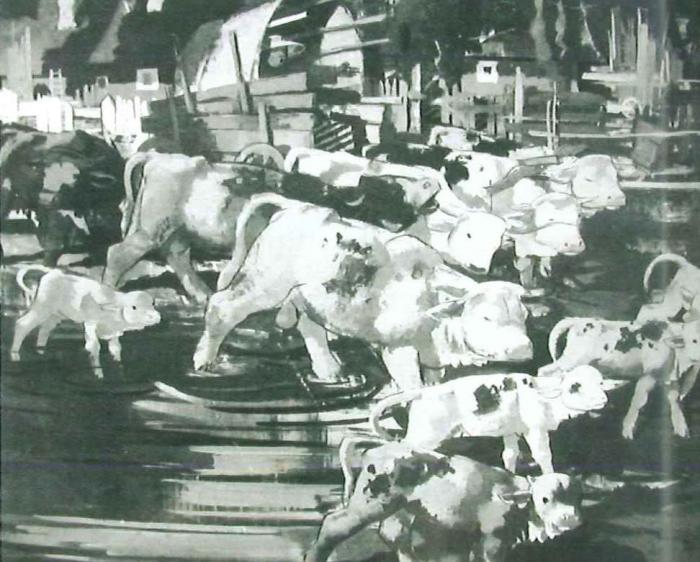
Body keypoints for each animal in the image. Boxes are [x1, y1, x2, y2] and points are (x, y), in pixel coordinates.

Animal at [11, 266, 161, 377]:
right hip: (42, 308)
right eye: (134, 307)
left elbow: (116, 349)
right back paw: (15, 356)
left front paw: (120, 370)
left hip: (55, 315)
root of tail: (53, 273)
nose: (155, 317)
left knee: (44, 330)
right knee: (22, 324)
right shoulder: (90, 323)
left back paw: (41, 353)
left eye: (153, 303)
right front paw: (99, 375)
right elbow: (94, 347)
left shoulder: (113, 333)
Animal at [195, 194, 533, 390]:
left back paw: (329, 370)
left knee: (310, 327)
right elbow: (412, 388)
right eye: (486, 317)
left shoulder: (431, 357)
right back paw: (205, 361)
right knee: (222, 306)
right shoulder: (398, 347)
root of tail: (296, 208)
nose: (523, 349)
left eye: (524, 317)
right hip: (265, 283)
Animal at [305, 441, 582, 562]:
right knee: (334, 525)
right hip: (370, 504)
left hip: (400, 510)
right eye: (544, 499)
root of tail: (375, 450)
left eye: (578, 498)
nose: (570, 518)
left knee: (394, 537)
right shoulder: (493, 537)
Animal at [368, 367, 615, 475]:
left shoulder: (510, 430)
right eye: (575, 386)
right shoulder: (535, 429)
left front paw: (511, 475)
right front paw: (551, 478)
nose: (603, 399)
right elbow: (543, 456)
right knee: (401, 447)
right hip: (427, 433)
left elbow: (510, 455)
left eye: (600, 382)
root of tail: (423, 392)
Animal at [539, 317, 700, 438]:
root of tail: (578, 320)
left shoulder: (668, 375)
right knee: (546, 372)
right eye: (694, 340)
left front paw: (681, 429)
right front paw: (628, 430)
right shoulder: (648, 375)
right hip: (572, 359)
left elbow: (674, 400)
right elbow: (638, 401)